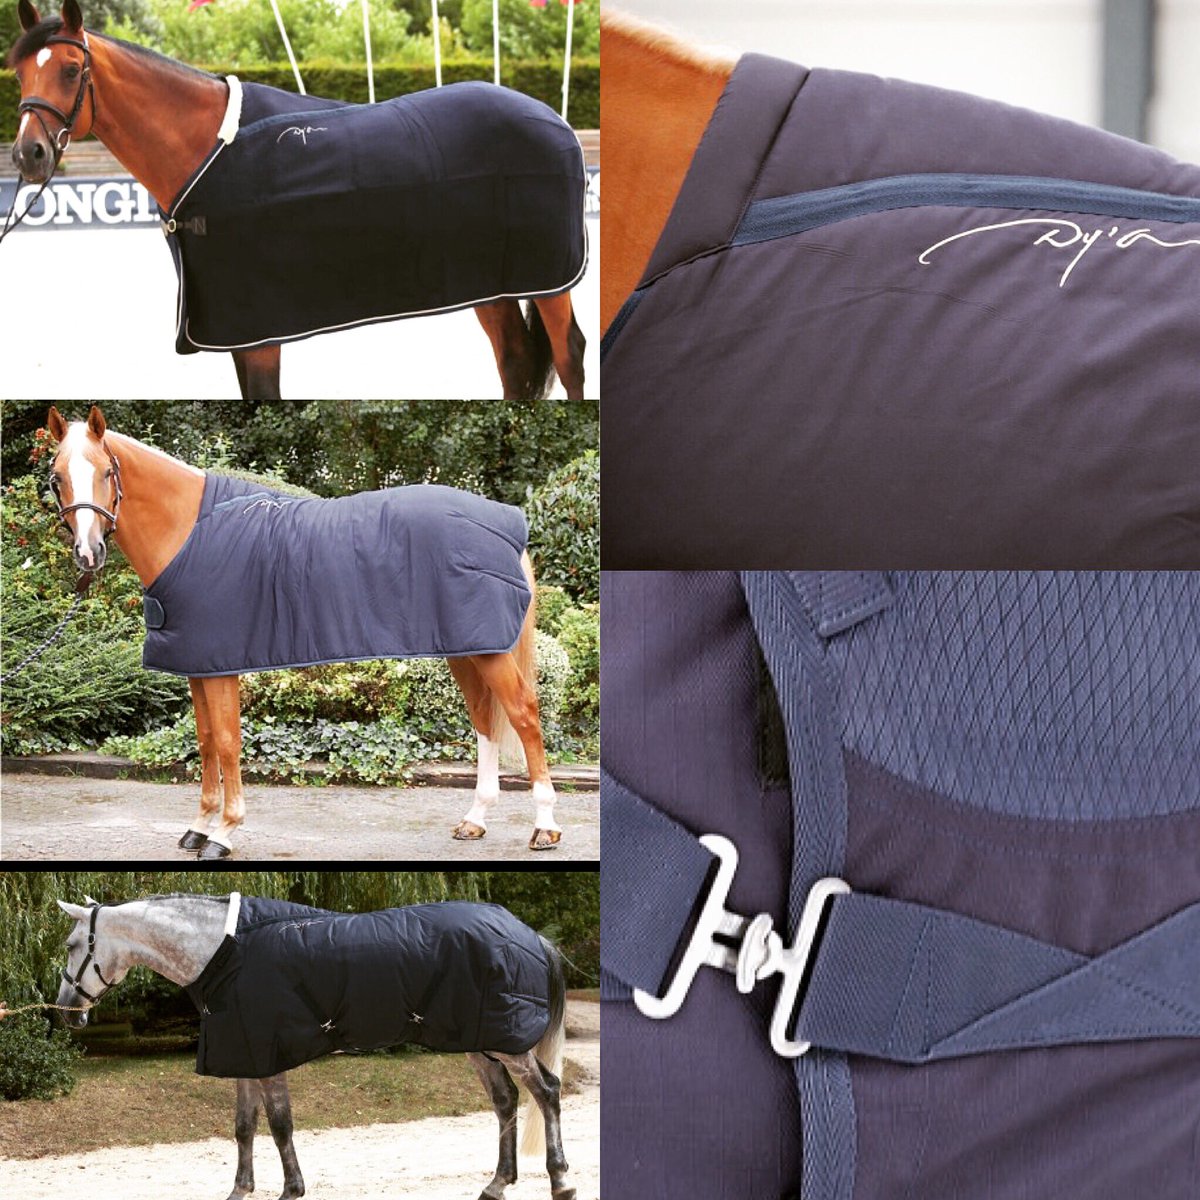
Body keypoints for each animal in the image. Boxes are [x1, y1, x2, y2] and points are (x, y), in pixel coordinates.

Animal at [6, 0, 587, 401]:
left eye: (71, 70)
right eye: (20, 72)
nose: (28, 153)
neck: (206, 147)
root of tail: (555, 122)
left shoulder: (259, 328)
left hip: (549, 278)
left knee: (569, 356)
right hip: (491, 281)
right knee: (514, 361)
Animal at [44, 404, 566, 859]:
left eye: (105, 473)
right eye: (57, 478)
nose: (88, 552)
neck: (189, 530)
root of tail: (506, 523)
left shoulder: (221, 666)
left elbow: (228, 741)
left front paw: (224, 833)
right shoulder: (197, 664)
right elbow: (207, 740)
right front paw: (199, 827)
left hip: (490, 652)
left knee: (524, 714)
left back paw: (545, 827)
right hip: (468, 648)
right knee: (484, 719)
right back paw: (475, 820)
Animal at [55, 893, 578, 1200]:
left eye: (72, 944)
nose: (65, 1010)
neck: (222, 951)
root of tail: (530, 935)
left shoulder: (268, 1058)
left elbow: (280, 1126)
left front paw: (292, 1190)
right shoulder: (245, 1055)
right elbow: (244, 1128)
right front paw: (240, 1190)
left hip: (508, 1044)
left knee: (547, 1093)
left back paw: (560, 1179)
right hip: (482, 1042)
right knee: (505, 1100)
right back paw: (497, 1183)